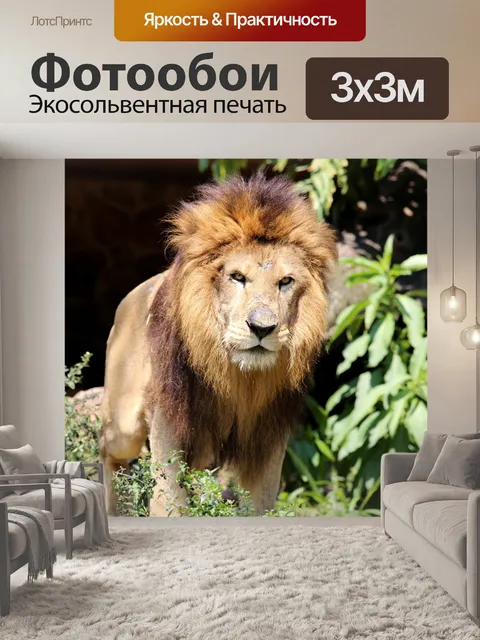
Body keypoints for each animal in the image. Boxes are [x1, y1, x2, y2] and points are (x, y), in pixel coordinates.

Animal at [100, 174, 337, 516]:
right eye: (237, 277)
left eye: (285, 282)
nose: (262, 328)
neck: (238, 377)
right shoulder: (169, 422)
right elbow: (169, 500)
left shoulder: (269, 440)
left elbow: (260, 506)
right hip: (124, 423)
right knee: (107, 449)